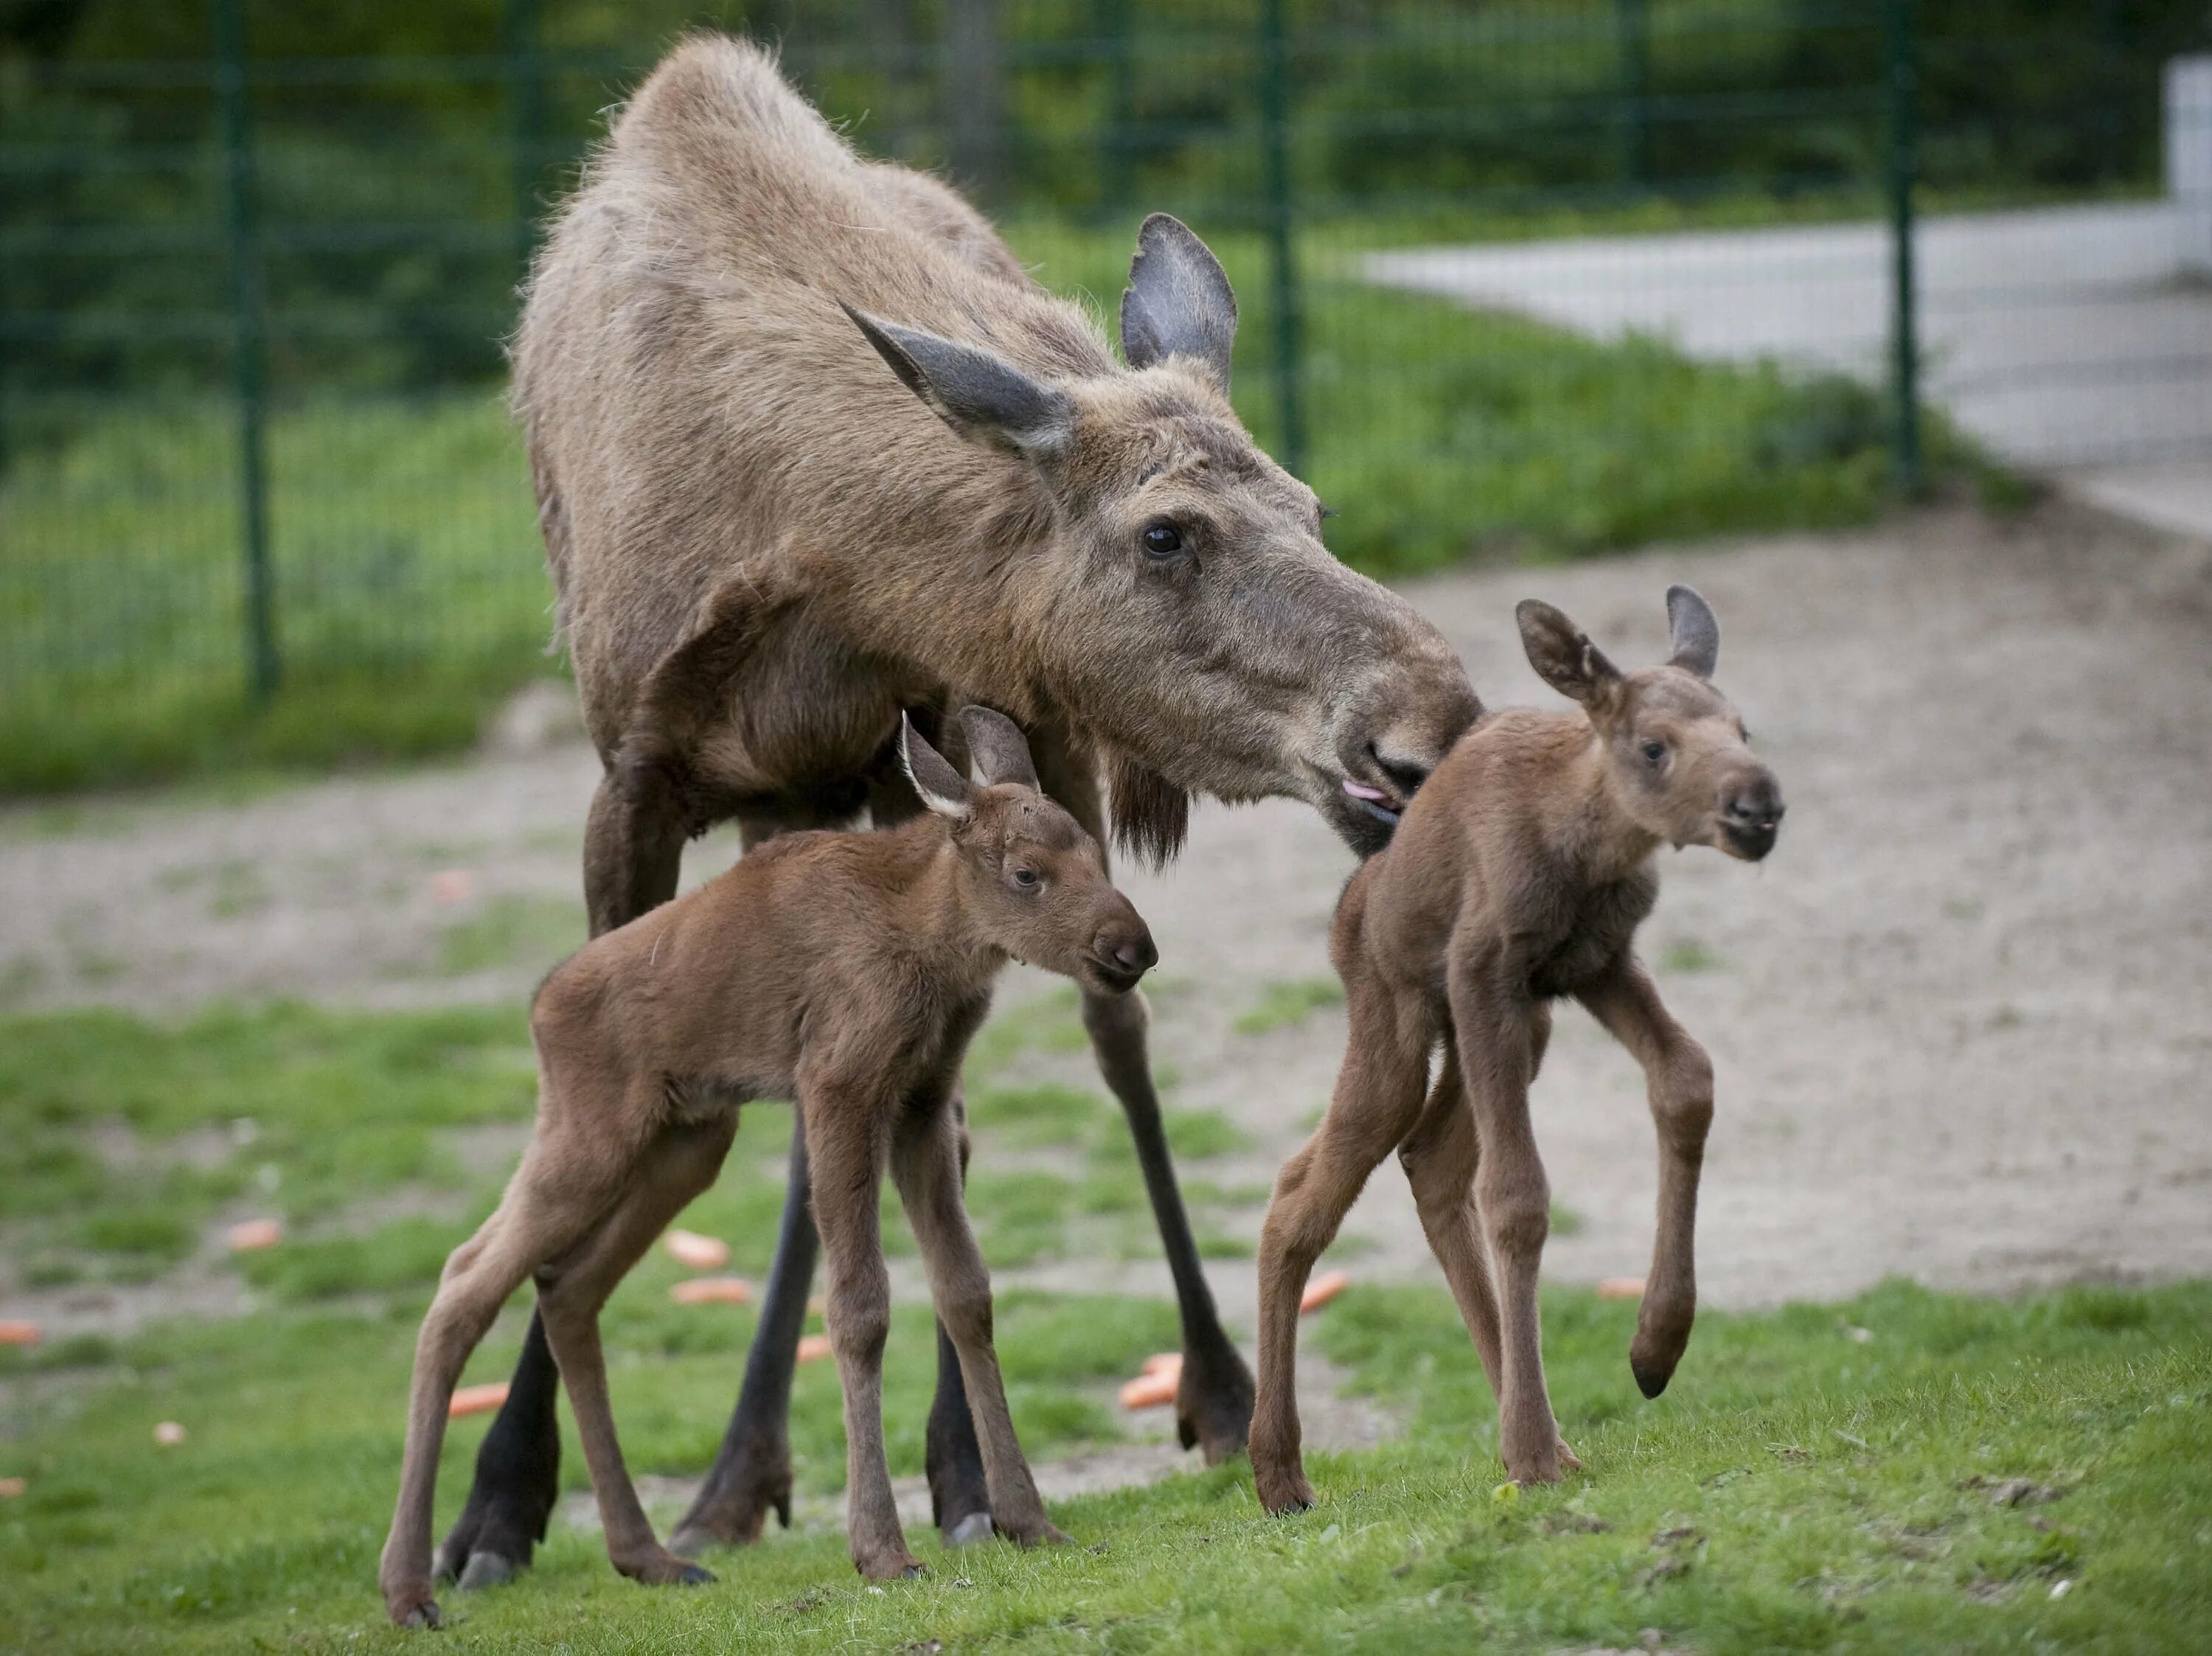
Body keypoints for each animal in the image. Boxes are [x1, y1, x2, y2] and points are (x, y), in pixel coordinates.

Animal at [376, 703, 1159, 1618]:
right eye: (1028, 873)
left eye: (1096, 850)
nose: (1132, 947)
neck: (932, 945)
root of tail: (539, 1008)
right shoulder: (839, 1084)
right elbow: (859, 1305)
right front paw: (882, 1549)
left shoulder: (923, 1101)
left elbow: (966, 1291)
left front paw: (1028, 1518)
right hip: (592, 1134)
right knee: (463, 1281)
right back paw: (408, 1586)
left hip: (687, 1140)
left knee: (566, 1287)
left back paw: (647, 1554)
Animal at [434, 35, 1486, 1592]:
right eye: (1166, 532)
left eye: (1311, 503)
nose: (1427, 727)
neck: (823, 564)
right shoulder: (635, 776)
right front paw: (499, 1503)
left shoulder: (963, 753)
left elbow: (953, 1143)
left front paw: (973, 1476)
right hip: (807, 815)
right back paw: (738, 1474)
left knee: (1100, 1049)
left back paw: (1173, 1400)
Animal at [1256, 588, 1787, 1503]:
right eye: (1654, 745)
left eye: (1742, 728)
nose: (1758, 805)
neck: (1587, 848)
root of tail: (1346, 909)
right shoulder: (1486, 973)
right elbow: (1517, 1195)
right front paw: (1531, 1454)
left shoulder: (1595, 963)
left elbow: (1688, 1077)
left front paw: (1655, 1346)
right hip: (1400, 1023)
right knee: (1301, 1196)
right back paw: (1280, 1469)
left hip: (1520, 1031)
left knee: (1424, 1162)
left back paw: (1536, 1428)